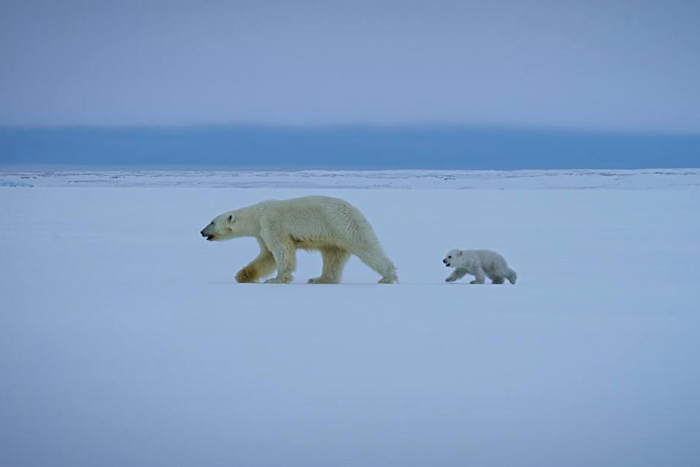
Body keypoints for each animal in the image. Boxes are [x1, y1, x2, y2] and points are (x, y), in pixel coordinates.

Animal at [202, 195, 400, 284]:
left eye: (211, 221)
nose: (202, 232)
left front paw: (276, 279)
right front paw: (243, 275)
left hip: (343, 224)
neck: (257, 215)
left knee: (366, 247)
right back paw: (319, 279)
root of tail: (355, 209)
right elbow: (266, 256)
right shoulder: (261, 233)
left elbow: (281, 250)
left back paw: (388, 277)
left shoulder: (271, 223)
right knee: (332, 257)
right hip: (333, 237)